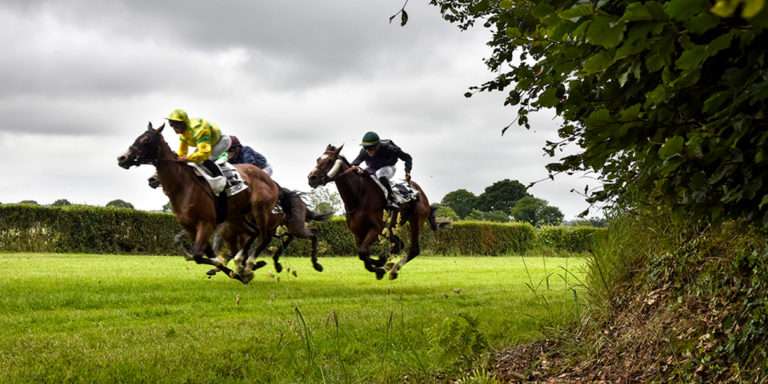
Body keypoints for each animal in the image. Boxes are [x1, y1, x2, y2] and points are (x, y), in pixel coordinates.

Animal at [115, 122, 278, 282]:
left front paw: (233, 269)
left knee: (264, 237)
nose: (122, 158)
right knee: (252, 233)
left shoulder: (206, 223)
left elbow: (198, 255)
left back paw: (249, 265)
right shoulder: (190, 227)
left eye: (146, 140)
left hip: (260, 210)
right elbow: (204, 254)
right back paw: (242, 264)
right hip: (235, 216)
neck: (183, 185)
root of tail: (268, 178)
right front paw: (235, 273)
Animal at [308, 144, 438, 280]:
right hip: (391, 228)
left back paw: (393, 270)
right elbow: (362, 254)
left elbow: (363, 253)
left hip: (416, 221)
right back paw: (389, 265)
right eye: (318, 159)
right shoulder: (358, 233)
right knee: (398, 245)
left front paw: (379, 269)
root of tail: (419, 191)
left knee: (413, 249)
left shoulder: (376, 229)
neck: (359, 196)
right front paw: (380, 264)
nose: (311, 178)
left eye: (329, 161)